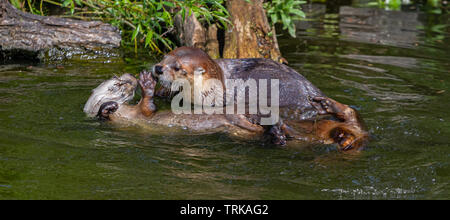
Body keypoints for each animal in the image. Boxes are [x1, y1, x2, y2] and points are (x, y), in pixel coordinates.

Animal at [84, 71, 370, 152]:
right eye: (116, 86)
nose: (130, 77)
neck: (126, 118)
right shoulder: (139, 118)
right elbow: (148, 107)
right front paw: (146, 85)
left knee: (352, 117)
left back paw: (325, 105)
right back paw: (276, 130)